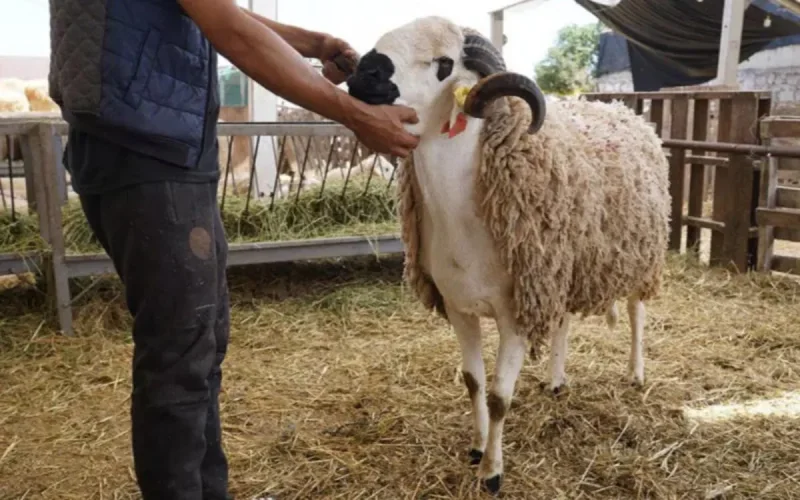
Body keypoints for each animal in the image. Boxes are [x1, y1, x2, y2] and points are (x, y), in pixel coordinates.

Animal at [346, 16, 670, 494]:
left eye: (444, 64)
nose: (362, 73)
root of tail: (623, 110)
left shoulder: (515, 311)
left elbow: (500, 397)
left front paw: (492, 473)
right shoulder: (462, 306)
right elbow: (473, 383)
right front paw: (477, 447)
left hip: (638, 256)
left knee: (636, 314)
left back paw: (635, 372)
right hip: (556, 267)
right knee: (563, 321)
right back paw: (556, 380)